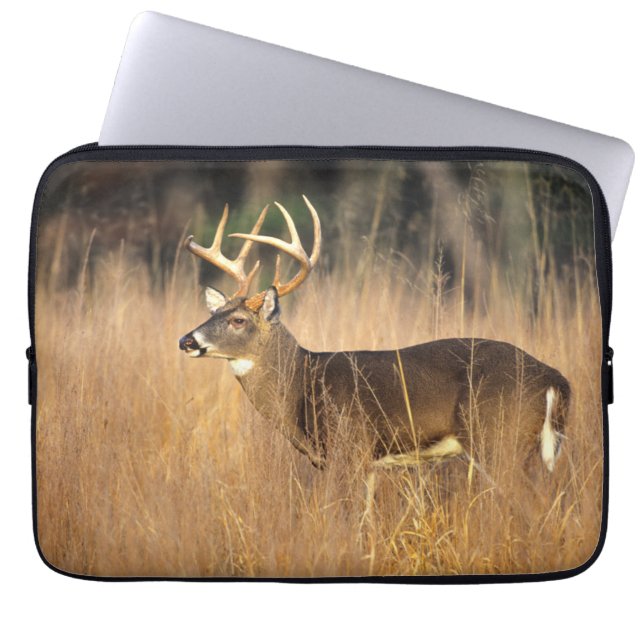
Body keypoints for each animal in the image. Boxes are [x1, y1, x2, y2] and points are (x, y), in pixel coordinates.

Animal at [179, 196, 571, 498]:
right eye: (214, 312)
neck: (302, 384)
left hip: (499, 438)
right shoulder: (365, 463)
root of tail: (554, 378)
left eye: (238, 320)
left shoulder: (350, 447)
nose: (187, 340)